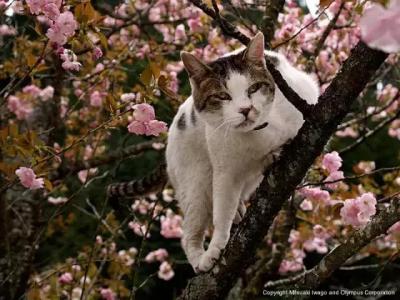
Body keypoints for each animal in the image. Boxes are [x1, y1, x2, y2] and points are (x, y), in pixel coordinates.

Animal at [166, 31, 318, 274]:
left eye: (253, 89)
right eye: (223, 96)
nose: (246, 109)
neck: (257, 135)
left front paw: (275, 153)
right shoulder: (225, 173)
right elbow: (221, 213)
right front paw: (216, 247)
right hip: (194, 181)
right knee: (189, 231)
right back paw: (199, 259)